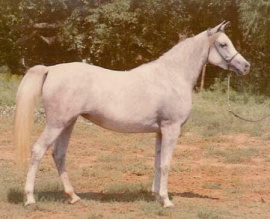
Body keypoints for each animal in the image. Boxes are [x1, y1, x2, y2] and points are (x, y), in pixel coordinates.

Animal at [14, 21, 250, 208]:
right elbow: (166, 163)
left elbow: (157, 162)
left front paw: (156, 196)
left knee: (59, 155)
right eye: (223, 44)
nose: (245, 66)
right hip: (56, 124)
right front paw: (166, 201)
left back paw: (73, 196)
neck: (172, 76)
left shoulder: (160, 131)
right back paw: (30, 199)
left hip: (68, 123)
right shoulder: (171, 128)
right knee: (38, 151)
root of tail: (51, 69)